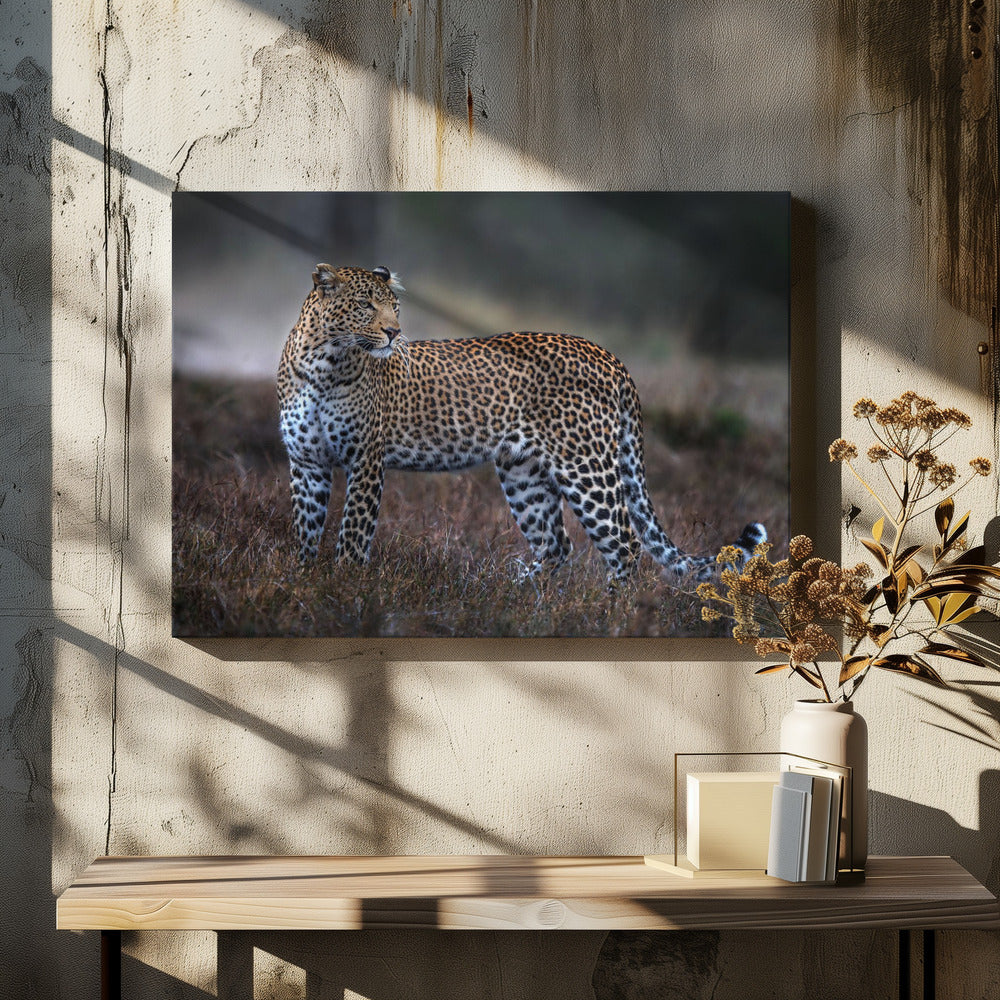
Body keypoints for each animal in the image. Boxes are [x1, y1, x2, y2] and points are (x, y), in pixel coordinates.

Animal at [277, 263, 765, 581]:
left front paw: (345, 587)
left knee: (625, 544)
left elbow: (353, 533)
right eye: (365, 305)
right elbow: (306, 526)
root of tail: (609, 355)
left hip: (586, 467)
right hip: (523, 472)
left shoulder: (365, 460)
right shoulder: (306, 462)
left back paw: (611, 616)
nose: (394, 333)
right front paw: (303, 581)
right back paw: (526, 596)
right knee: (557, 545)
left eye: (395, 307)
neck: (325, 364)